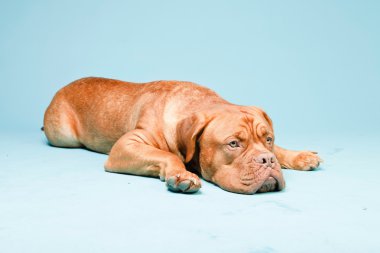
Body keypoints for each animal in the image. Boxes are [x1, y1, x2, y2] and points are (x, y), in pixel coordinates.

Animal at [43, 77, 320, 194]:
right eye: (233, 144)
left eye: (268, 139)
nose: (267, 160)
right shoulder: (127, 146)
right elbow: (168, 155)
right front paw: (182, 176)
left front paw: (300, 156)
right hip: (62, 136)